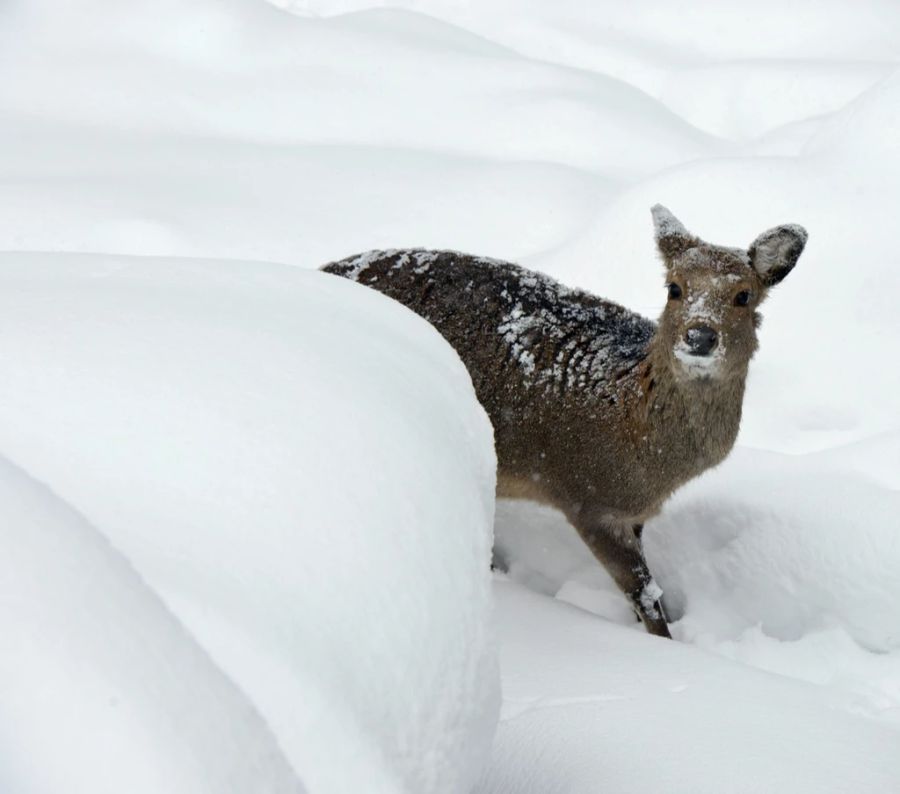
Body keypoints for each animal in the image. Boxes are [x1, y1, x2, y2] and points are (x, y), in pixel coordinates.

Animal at [324, 206, 808, 636]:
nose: (700, 336)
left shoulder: (634, 513)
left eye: (744, 295)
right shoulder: (585, 496)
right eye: (674, 287)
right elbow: (645, 596)